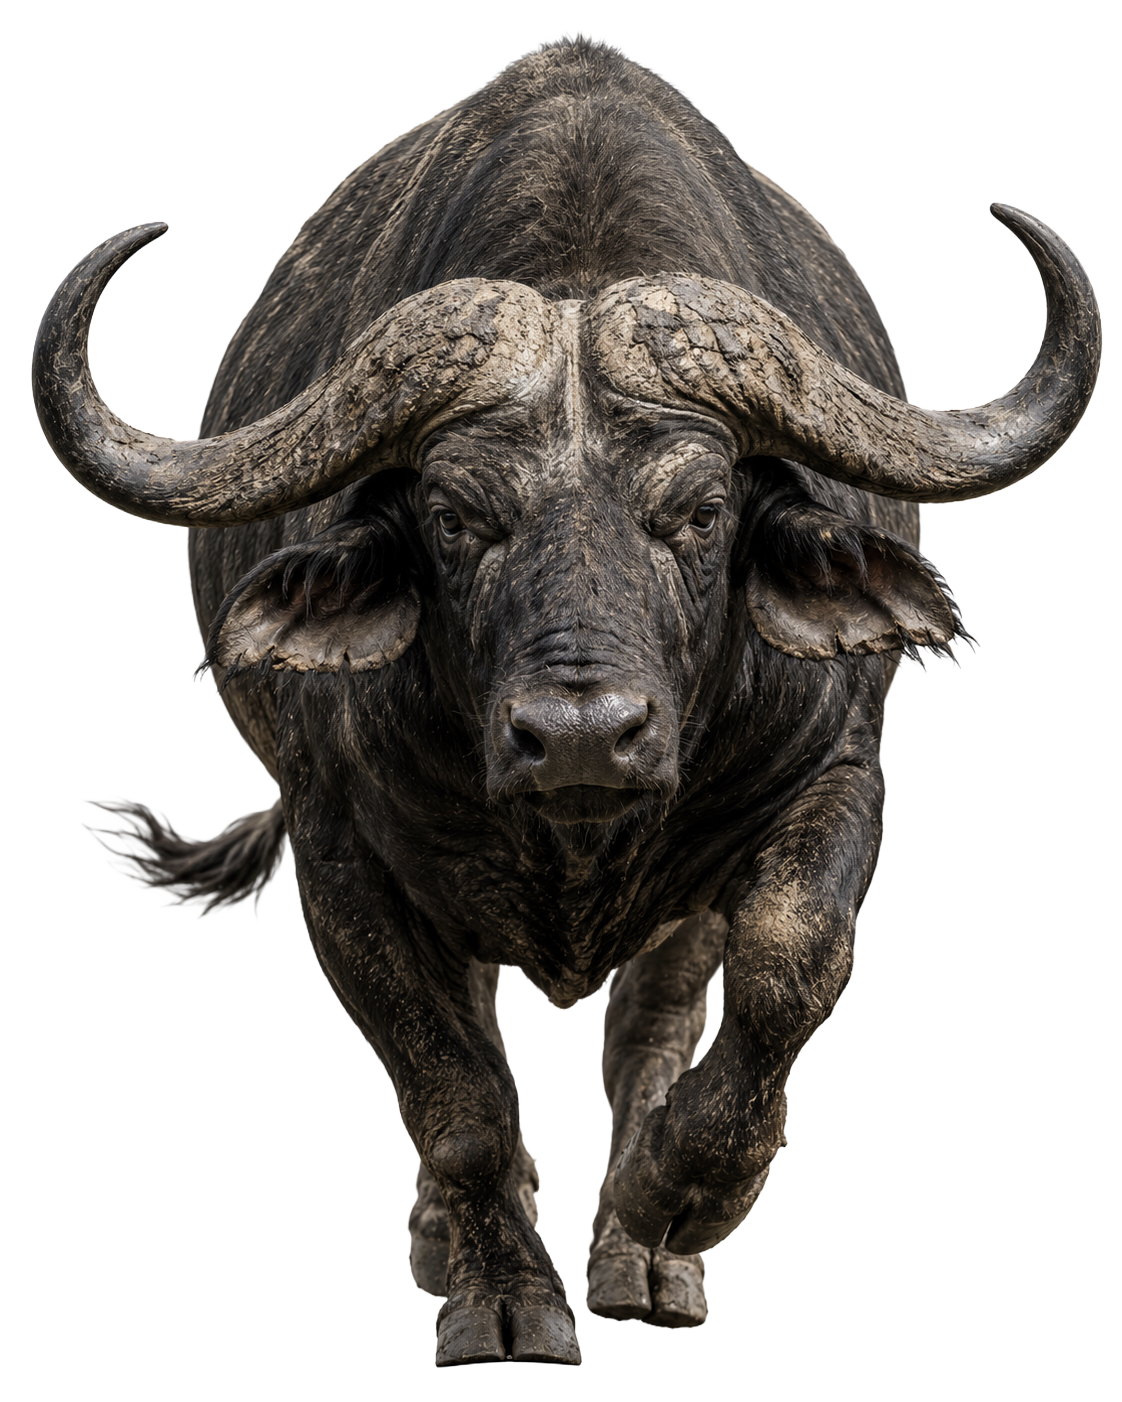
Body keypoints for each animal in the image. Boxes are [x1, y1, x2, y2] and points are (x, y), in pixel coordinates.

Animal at [32, 34, 1102, 1369]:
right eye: (453, 516)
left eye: (700, 508)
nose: (584, 737)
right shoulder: (344, 847)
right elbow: (454, 1086)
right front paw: (498, 1292)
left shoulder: (836, 778)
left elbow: (789, 964)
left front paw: (679, 1197)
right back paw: (451, 1236)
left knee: (651, 1020)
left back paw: (646, 1250)